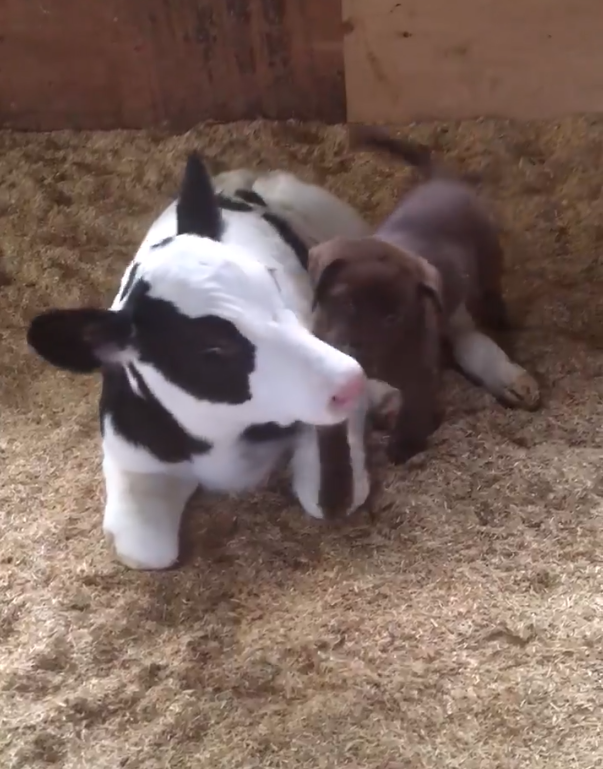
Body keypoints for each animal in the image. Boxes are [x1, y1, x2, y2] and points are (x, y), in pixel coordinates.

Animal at [30, 153, 376, 568]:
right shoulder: (130, 455)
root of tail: (244, 179)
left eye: (272, 284)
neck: (224, 437)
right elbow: (146, 550)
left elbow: (330, 496)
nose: (350, 380)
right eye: (212, 349)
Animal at [310, 127, 540, 462]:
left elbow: (414, 412)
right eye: (346, 302)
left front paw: (403, 449)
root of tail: (446, 182)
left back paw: (498, 318)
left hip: (489, 255)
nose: (356, 353)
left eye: (393, 317)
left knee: (492, 288)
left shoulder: (418, 375)